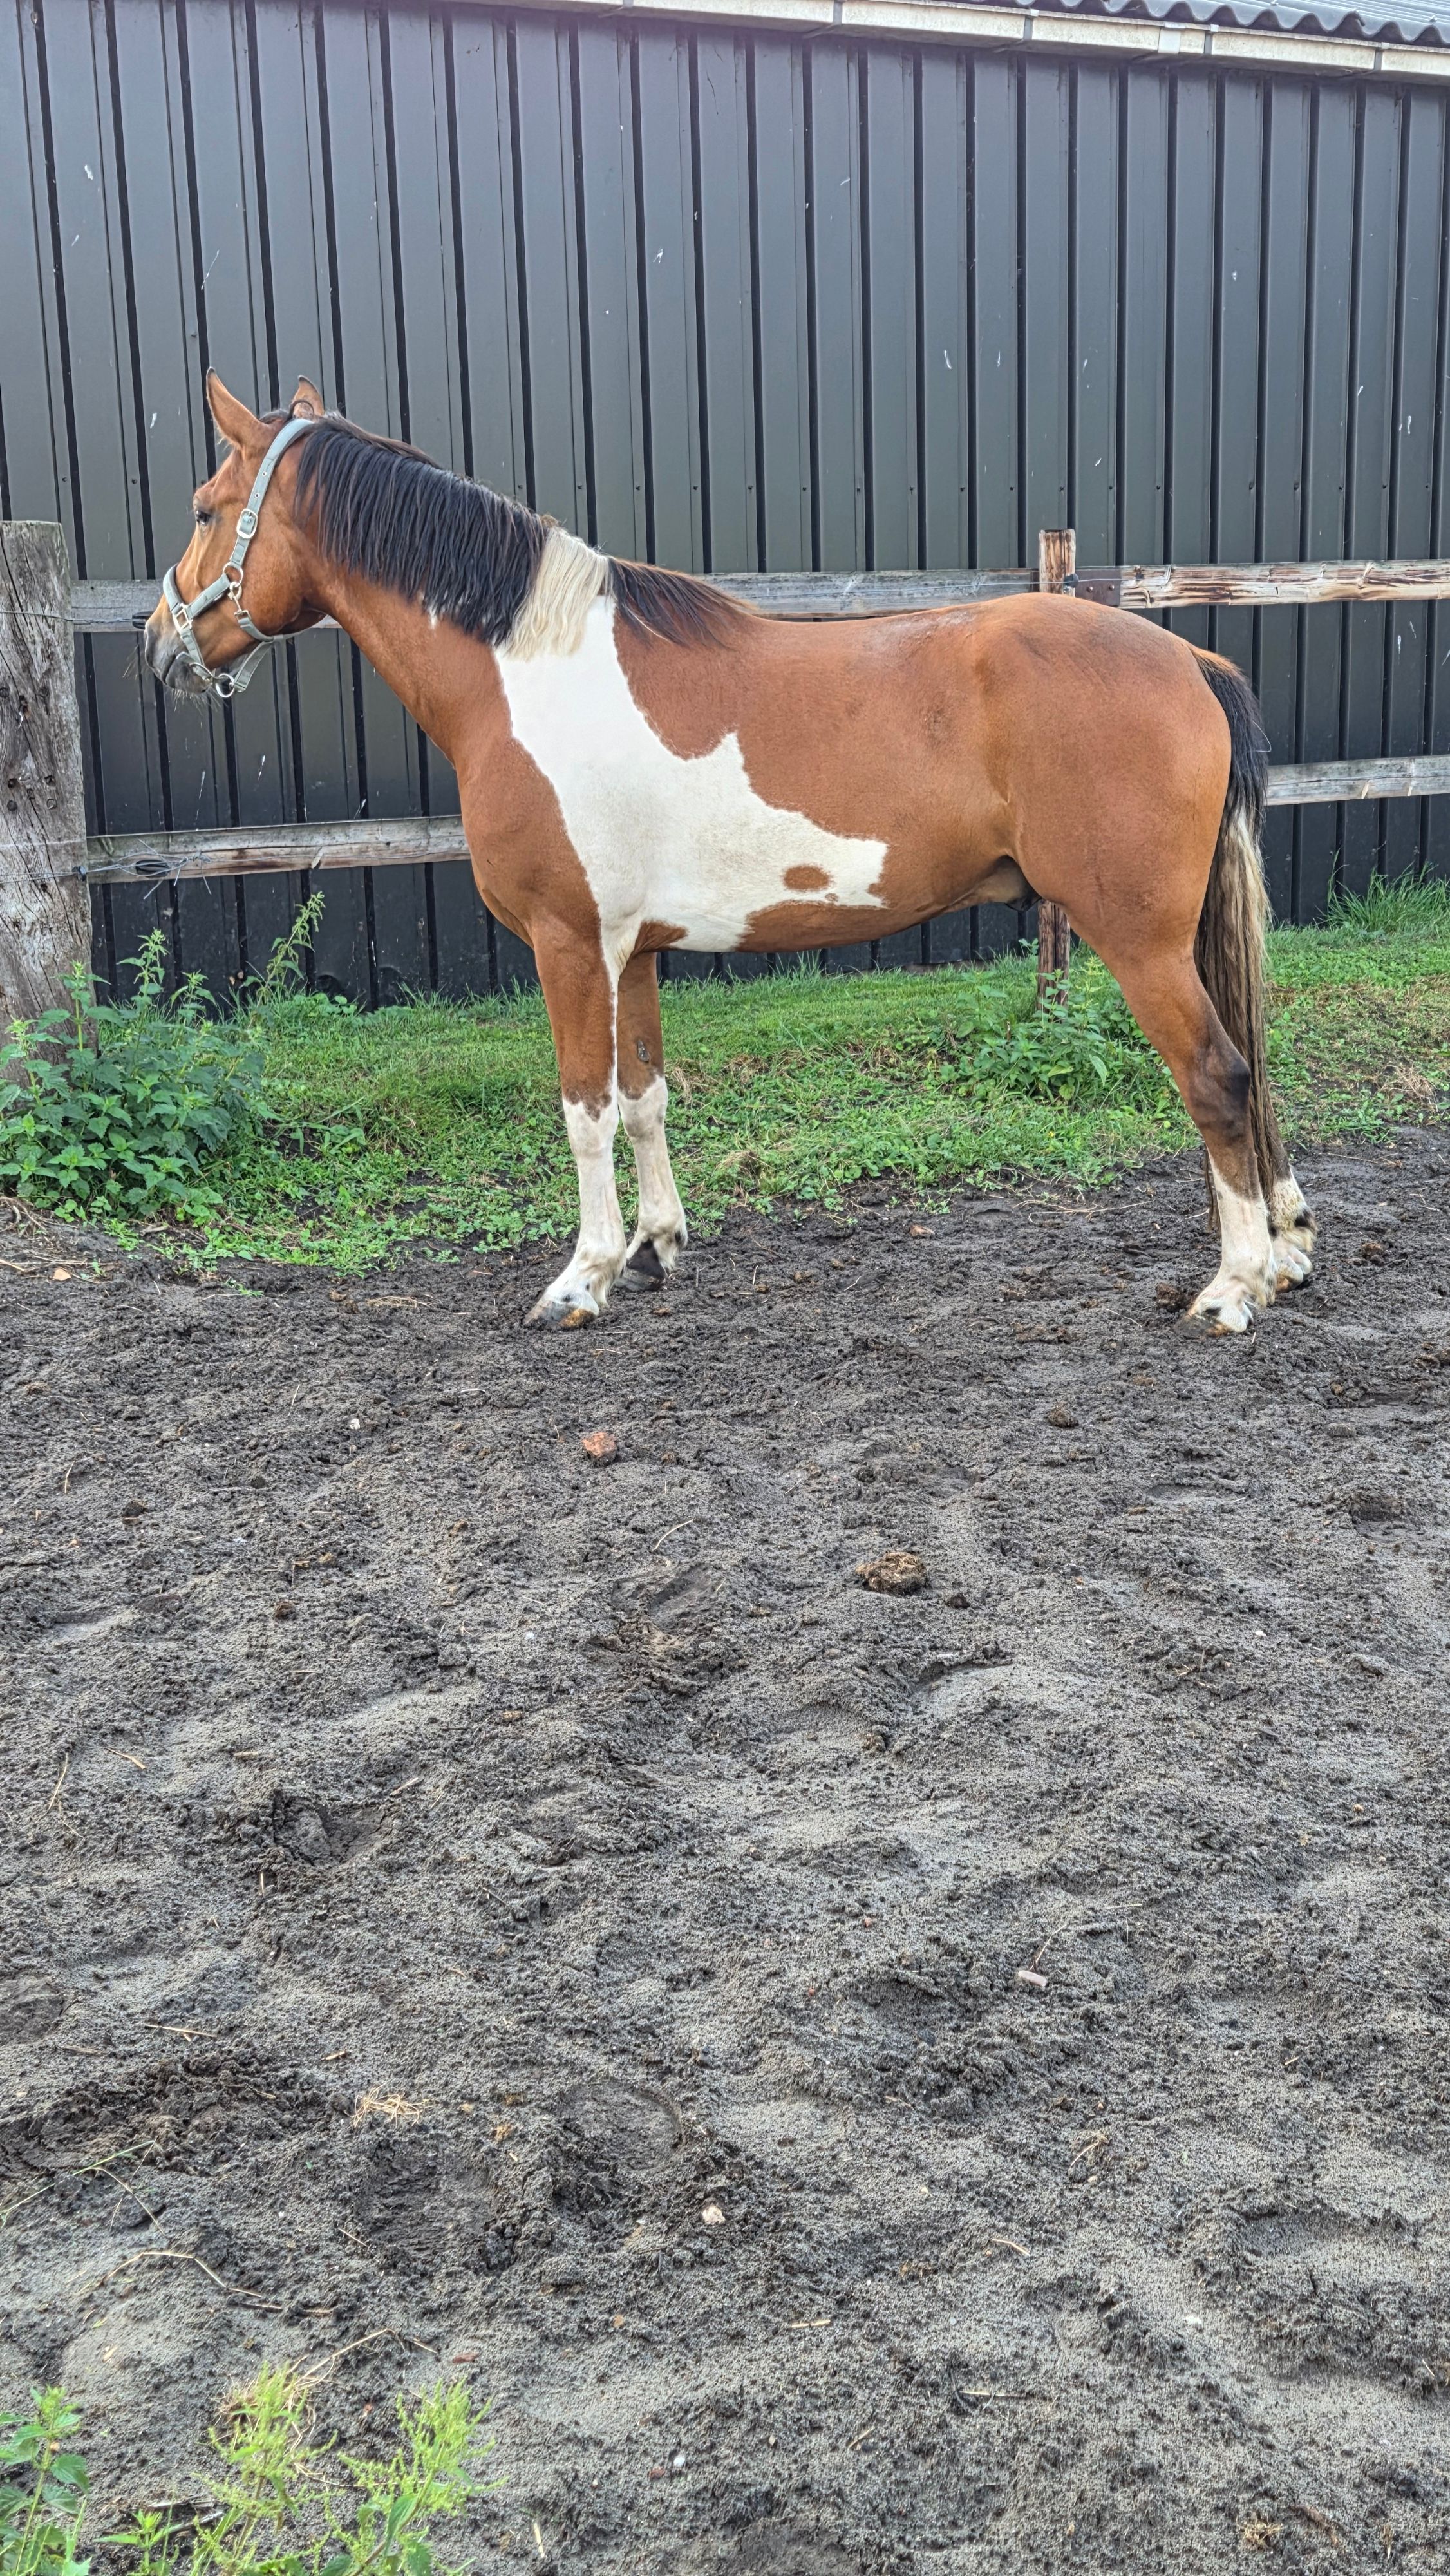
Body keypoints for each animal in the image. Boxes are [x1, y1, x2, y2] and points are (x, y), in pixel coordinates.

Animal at [144, 371, 1315, 1333]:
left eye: (206, 507)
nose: (160, 645)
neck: (530, 675)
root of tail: (1188, 661)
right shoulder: (636, 953)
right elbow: (646, 1098)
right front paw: (657, 1249)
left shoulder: (569, 945)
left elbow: (583, 1109)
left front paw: (581, 1278)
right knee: (1251, 1074)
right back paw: (1284, 1251)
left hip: (1138, 940)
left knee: (1217, 1077)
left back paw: (1231, 1289)